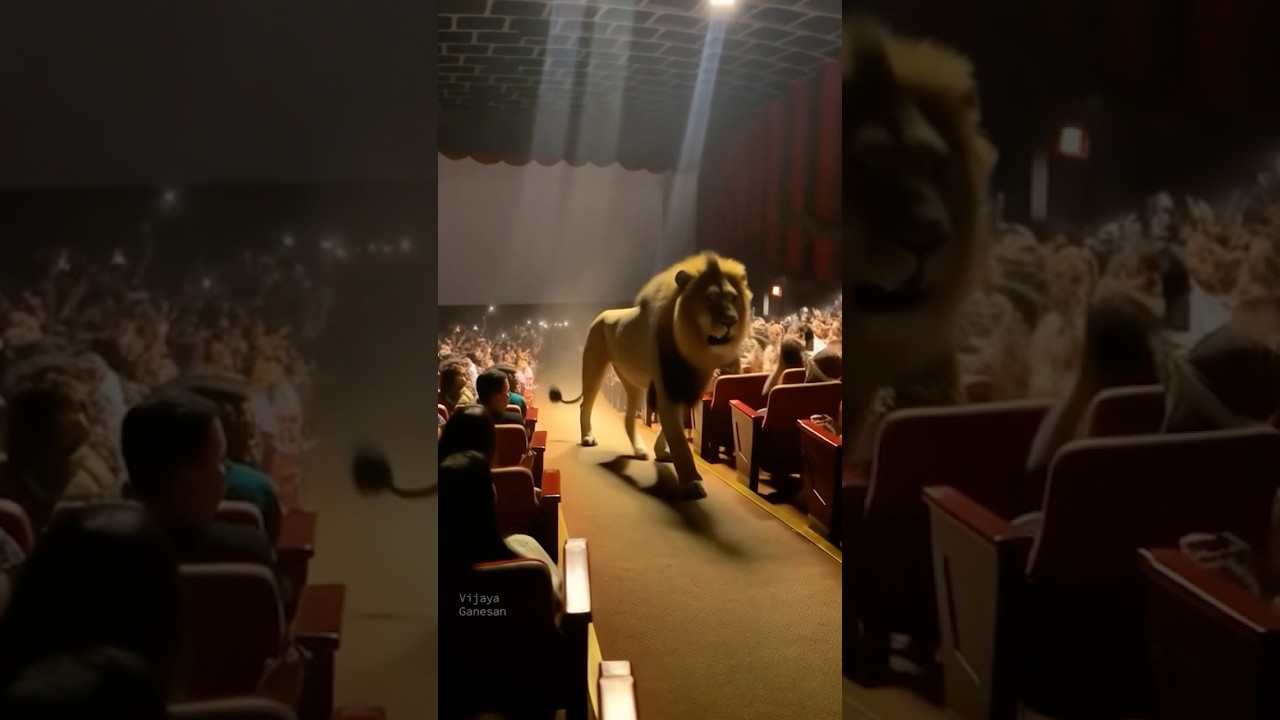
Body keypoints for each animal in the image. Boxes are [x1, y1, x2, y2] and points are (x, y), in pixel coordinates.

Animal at [550, 252, 752, 499]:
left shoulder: (685, 384)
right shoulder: (668, 385)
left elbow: (673, 426)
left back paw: (639, 449)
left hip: (631, 382)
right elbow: (678, 436)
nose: (730, 322)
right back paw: (588, 437)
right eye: (710, 298)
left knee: (628, 418)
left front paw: (661, 452)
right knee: (584, 406)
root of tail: (602, 314)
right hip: (594, 367)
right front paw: (692, 480)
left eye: (733, 298)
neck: (693, 345)